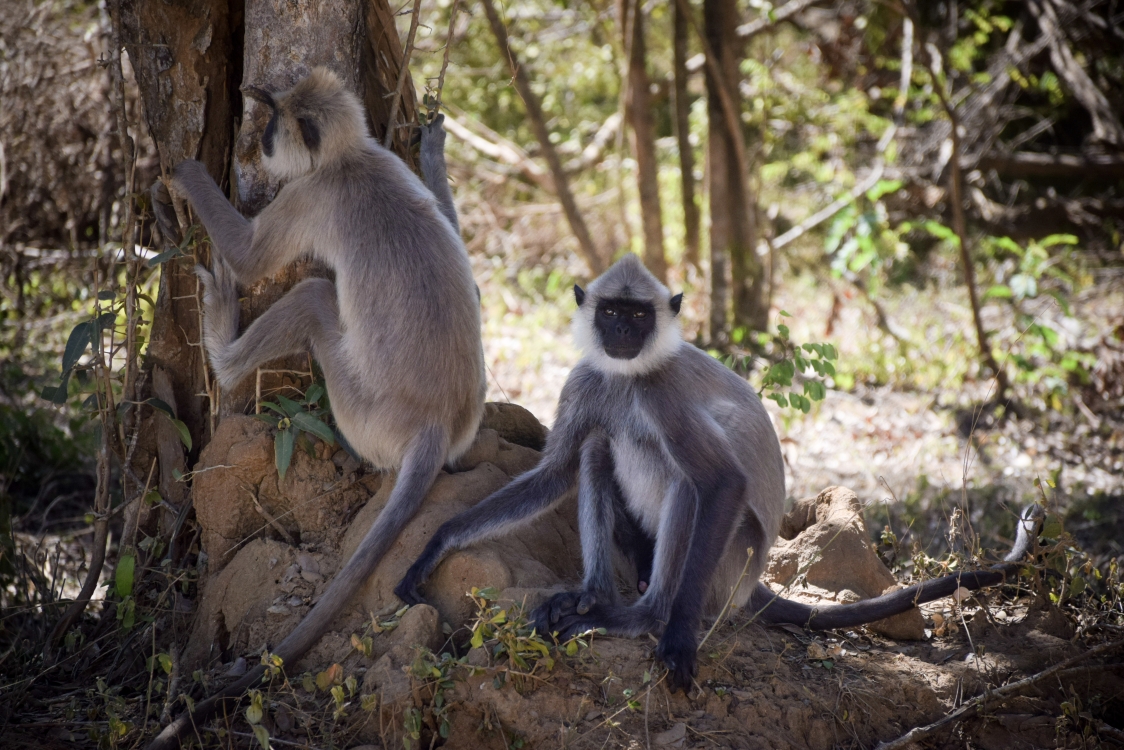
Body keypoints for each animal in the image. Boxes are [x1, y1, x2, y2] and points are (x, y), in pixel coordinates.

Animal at [147, 67, 485, 746]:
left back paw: (225, 351)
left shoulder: (310, 195)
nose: (259, 132)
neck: (348, 159)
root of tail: (435, 425)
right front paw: (434, 151)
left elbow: (251, 257)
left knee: (313, 295)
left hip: (359, 412)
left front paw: (182, 169)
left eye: (275, 122)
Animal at [395, 255, 1043, 697]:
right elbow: (553, 473)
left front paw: (677, 637)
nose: (622, 333)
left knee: (688, 485)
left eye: (638, 315)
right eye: (611, 312)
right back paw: (593, 596)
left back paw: (643, 615)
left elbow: (723, 483)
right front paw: (432, 545)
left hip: (729, 562)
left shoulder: (664, 395)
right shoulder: (585, 380)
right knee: (598, 449)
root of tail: (750, 581)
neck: (629, 378)